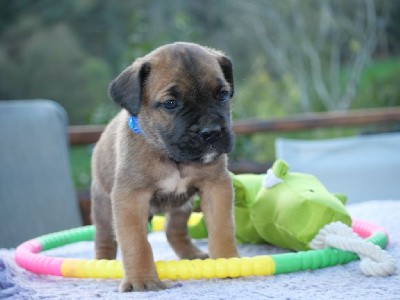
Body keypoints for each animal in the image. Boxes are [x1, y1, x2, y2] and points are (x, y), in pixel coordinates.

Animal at [90, 41, 239, 290]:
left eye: (223, 95)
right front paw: (141, 280)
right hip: (102, 206)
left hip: (182, 205)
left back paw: (192, 255)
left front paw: (227, 262)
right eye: (170, 104)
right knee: (104, 239)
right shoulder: (130, 199)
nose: (210, 132)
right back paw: (102, 263)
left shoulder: (215, 186)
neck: (170, 157)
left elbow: (222, 229)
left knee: (173, 231)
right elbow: (136, 242)